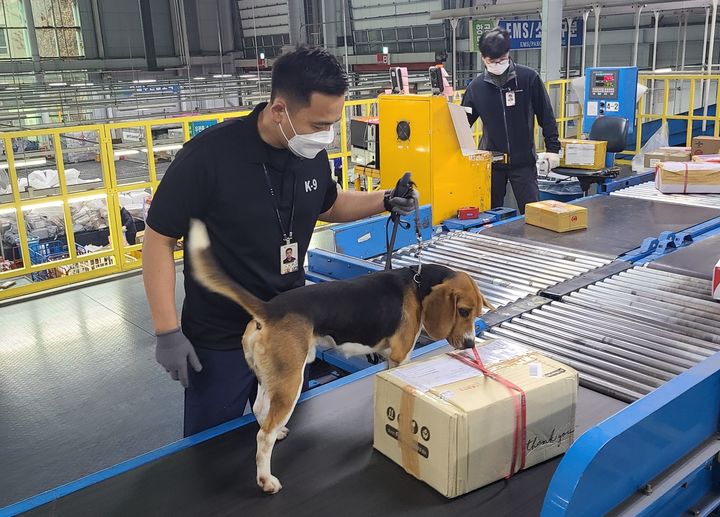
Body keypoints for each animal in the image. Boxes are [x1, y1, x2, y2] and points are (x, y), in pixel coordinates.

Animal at [186, 218, 492, 492]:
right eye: (463, 311)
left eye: (476, 312)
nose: (469, 344)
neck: (418, 284)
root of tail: (269, 309)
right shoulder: (401, 356)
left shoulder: (387, 359)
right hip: (291, 381)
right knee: (263, 437)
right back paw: (266, 480)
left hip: (270, 377)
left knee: (261, 410)